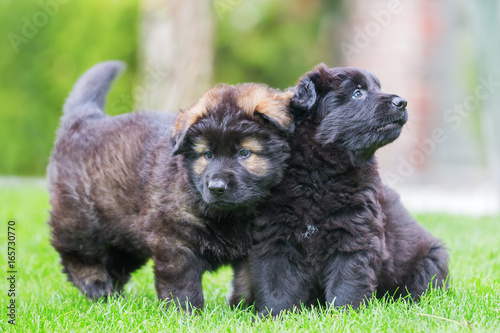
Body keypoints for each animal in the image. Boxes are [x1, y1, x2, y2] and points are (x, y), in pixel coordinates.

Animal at [47, 61, 292, 310]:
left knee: (114, 261)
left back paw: (114, 298)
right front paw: (185, 312)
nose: (216, 187)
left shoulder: (252, 246)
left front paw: (244, 309)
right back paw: (95, 284)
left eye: (244, 153)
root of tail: (84, 119)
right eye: (207, 154)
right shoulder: (175, 240)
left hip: (125, 231)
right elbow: (182, 284)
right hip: (80, 217)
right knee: (73, 251)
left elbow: (248, 280)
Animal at [230, 63, 450, 316]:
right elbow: (277, 283)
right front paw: (274, 316)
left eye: (377, 88)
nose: (402, 102)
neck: (320, 175)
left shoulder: (355, 233)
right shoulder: (275, 235)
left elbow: (346, 282)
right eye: (357, 93)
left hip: (431, 259)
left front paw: (345, 315)